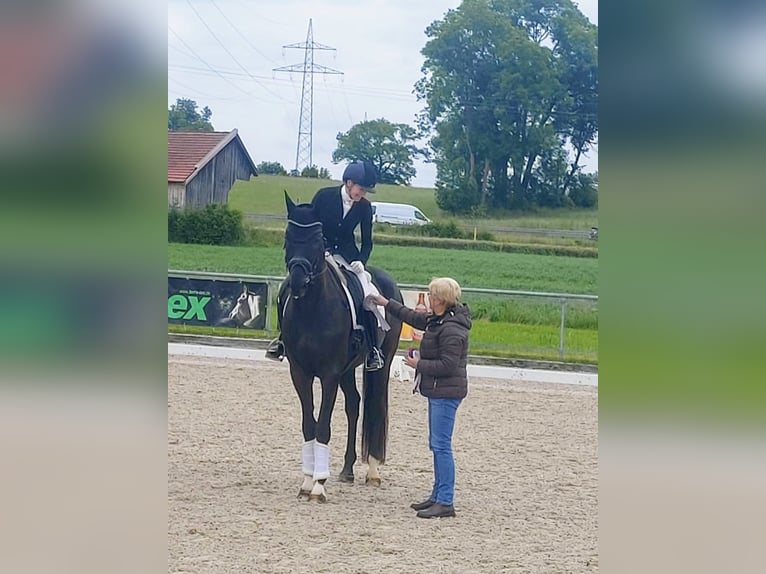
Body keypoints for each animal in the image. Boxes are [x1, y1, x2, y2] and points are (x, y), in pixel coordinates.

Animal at [280, 192, 404, 504]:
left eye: (317, 240)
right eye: (288, 238)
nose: (297, 282)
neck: (312, 309)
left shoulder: (328, 374)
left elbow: (323, 426)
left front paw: (319, 486)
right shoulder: (300, 373)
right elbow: (309, 425)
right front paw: (307, 481)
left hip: (378, 365)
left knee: (374, 407)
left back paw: (372, 472)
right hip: (347, 370)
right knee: (354, 405)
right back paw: (347, 469)